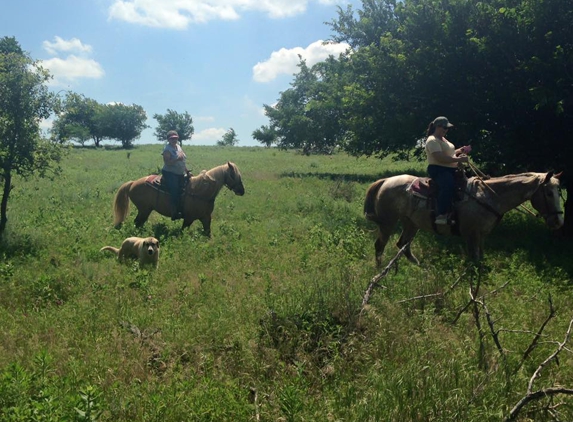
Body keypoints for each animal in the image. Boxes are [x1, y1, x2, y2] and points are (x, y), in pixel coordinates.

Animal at [111, 162, 244, 236]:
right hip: (144, 210)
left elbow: (208, 233)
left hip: (145, 210)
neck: (200, 191)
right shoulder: (189, 218)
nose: (242, 191)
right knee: (138, 223)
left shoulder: (206, 218)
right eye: (233, 175)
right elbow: (182, 231)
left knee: (139, 223)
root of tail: (133, 183)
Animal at [364, 171, 560, 264]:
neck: (491, 196)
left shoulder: (481, 235)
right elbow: (474, 260)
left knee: (403, 245)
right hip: (388, 222)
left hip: (411, 223)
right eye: (549, 193)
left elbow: (480, 258)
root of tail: (386, 181)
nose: (558, 221)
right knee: (380, 245)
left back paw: (420, 268)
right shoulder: (472, 234)